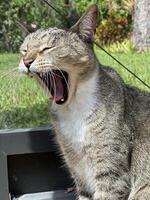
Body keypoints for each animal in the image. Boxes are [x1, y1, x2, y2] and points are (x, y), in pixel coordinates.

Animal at [19, 4, 150, 200]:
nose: (26, 61)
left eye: (48, 48)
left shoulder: (110, 176)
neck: (72, 107)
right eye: (24, 50)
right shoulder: (78, 170)